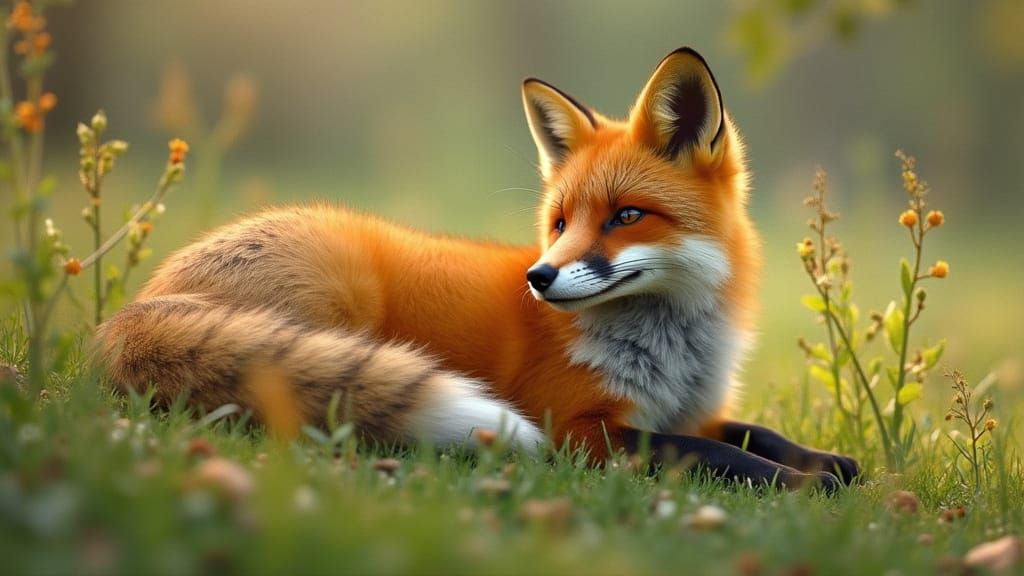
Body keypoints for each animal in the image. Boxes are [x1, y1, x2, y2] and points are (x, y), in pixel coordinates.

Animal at [96, 47, 858, 490]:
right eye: (559, 223)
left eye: (625, 217)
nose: (539, 278)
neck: (673, 351)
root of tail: (133, 310)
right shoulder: (580, 429)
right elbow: (709, 455)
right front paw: (806, 481)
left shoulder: (695, 410)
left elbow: (754, 435)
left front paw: (828, 461)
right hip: (341, 302)